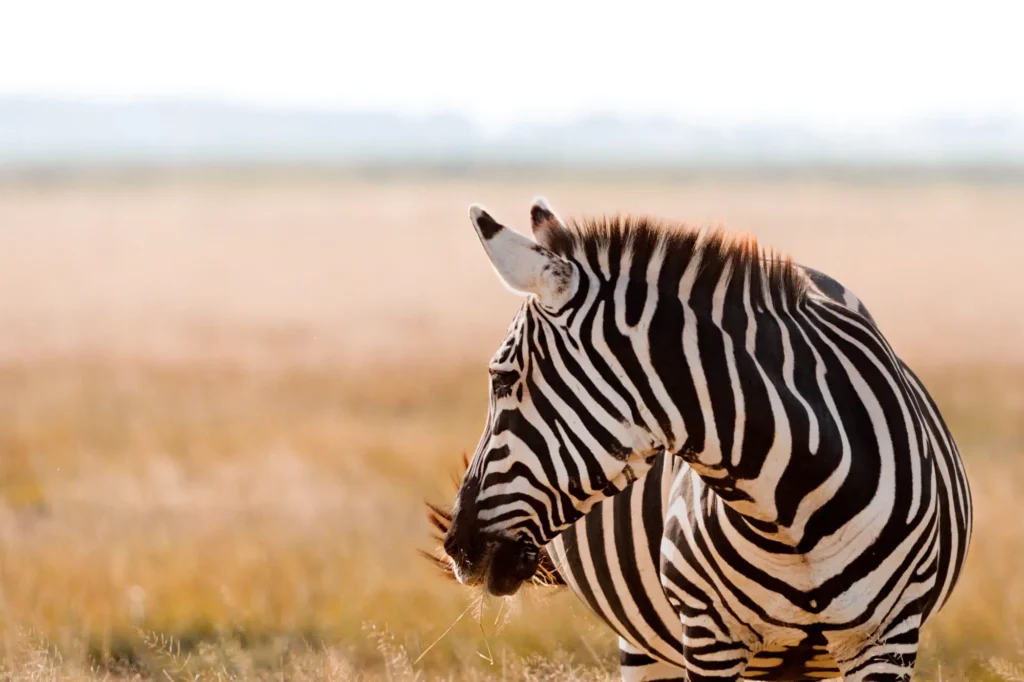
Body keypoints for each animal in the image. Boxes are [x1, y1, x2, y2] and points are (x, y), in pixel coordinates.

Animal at [437, 197, 972, 681]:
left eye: (503, 380)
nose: (458, 547)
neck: (795, 510)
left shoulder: (887, 639)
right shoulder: (709, 637)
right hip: (646, 643)